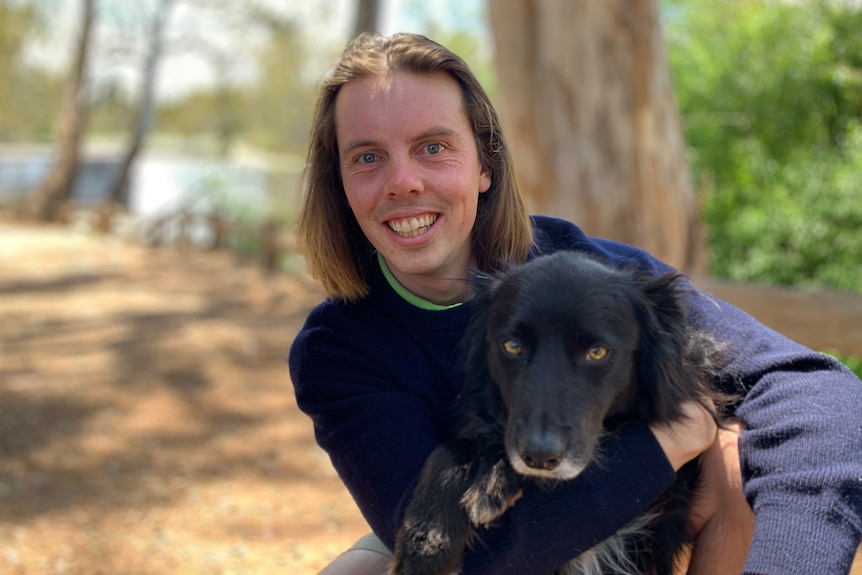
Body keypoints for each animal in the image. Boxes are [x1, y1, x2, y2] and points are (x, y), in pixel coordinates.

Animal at [394, 252, 732, 575]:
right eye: (511, 346)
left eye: (597, 352)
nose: (539, 457)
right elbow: (448, 450)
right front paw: (425, 541)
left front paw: (495, 477)